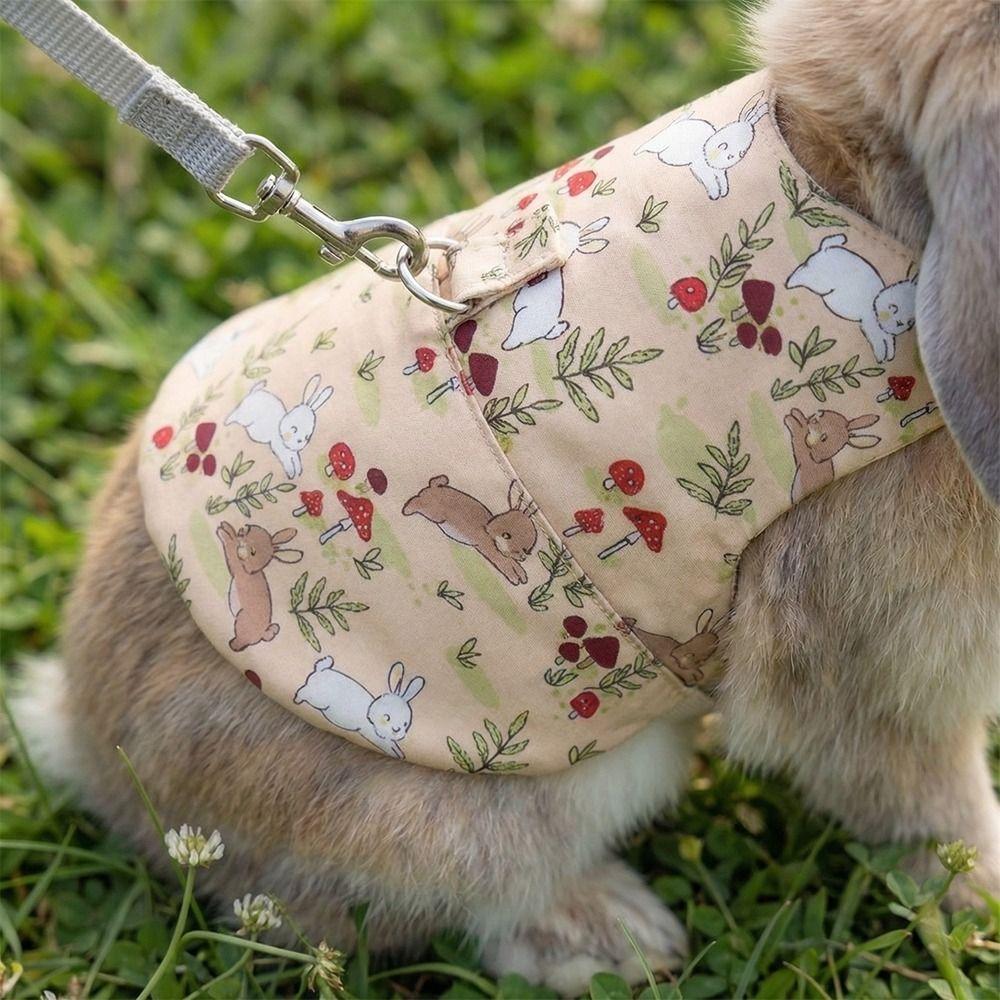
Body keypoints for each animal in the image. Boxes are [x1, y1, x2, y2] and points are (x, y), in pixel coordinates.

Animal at [217, 522, 303, 652]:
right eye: (249, 529)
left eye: (253, 552)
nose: (245, 528)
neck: (253, 570)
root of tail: (262, 633)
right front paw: (227, 527)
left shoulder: (238, 566)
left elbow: (231, 549)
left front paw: (224, 533)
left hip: (241, 619)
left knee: (243, 639)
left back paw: (234, 644)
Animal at [293, 658, 425, 759]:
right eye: (387, 717)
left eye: (405, 724)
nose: (396, 730)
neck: (369, 713)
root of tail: (321, 671)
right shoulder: (376, 738)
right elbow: (388, 748)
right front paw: (397, 755)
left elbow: (394, 745)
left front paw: (401, 754)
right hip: (317, 698)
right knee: (304, 692)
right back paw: (298, 699)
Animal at [402, 476, 538, 585]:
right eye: (506, 535)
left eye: (526, 550)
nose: (523, 557)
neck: (488, 529)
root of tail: (434, 489)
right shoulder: (490, 549)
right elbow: (505, 563)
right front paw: (515, 577)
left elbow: (512, 563)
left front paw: (522, 575)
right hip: (435, 513)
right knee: (420, 503)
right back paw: (408, 507)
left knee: (433, 483)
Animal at [635, 90, 768, 200]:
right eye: (723, 145)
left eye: (742, 153)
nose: (732, 157)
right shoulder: (703, 170)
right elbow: (710, 182)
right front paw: (715, 195)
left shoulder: (719, 172)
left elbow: (722, 181)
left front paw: (723, 193)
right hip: (660, 142)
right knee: (649, 144)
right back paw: (637, 151)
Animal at [786, 233, 918, 362]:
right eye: (893, 307)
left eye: (910, 322)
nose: (899, 323)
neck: (874, 304)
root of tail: (825, 249)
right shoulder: (870, 327)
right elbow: (879, 343)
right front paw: (881, 357)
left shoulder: (885, 334)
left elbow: (889, 343)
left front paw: (889, 356)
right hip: (820, 282)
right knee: (803, 274)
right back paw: (790, 282)